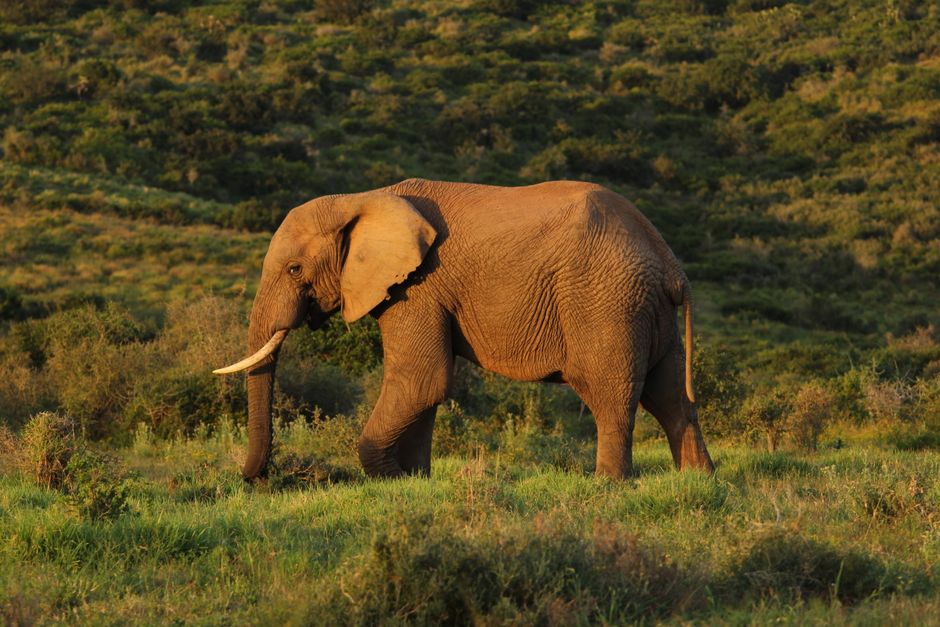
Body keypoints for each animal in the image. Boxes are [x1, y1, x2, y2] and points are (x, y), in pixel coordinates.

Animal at [214, 178, 714, 480]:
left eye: (295, 269)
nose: (252, 478)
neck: (363, 198)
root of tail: (671, 265)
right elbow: (426, 389)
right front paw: (415, 480)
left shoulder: (418, 287)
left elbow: (422, 379)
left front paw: (387, 479)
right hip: (647, 310)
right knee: (670, 396)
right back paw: (697, 479)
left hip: (607, 302)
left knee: (610, 394)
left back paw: (609, 484)